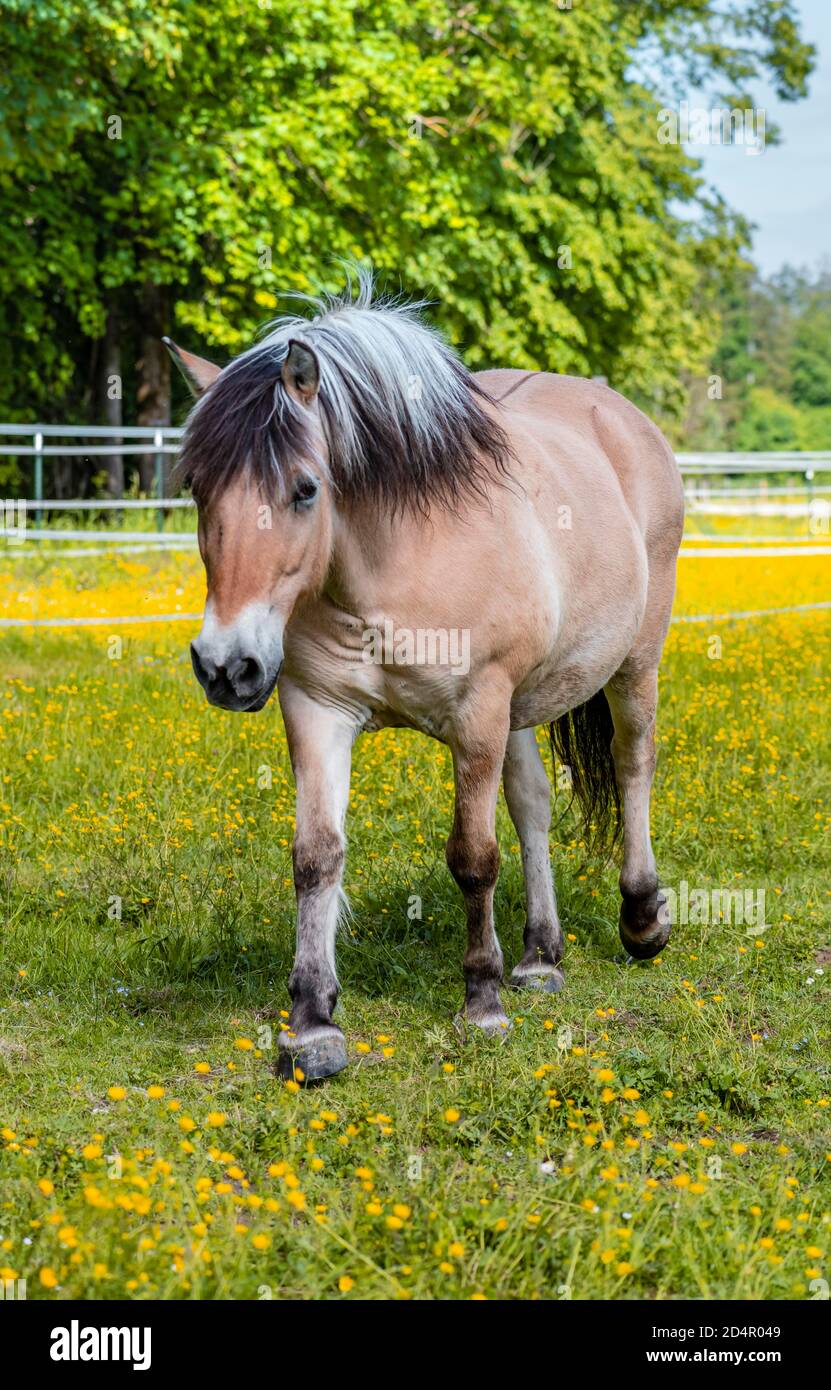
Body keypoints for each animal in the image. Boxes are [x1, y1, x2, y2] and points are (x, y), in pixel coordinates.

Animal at [166, 265, 686, 1078]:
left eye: (305, 488)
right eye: (195, 487)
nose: (226, 666)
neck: (390, 561)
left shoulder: (477, 713)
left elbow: (472, 857)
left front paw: (482, 1003)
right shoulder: (317, 710)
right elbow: (316, 857)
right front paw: (312, 1024)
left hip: (633, 663)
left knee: (633, 765)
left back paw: (640, 918)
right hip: (522, 709)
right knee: (534, 805)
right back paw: (540, 955)